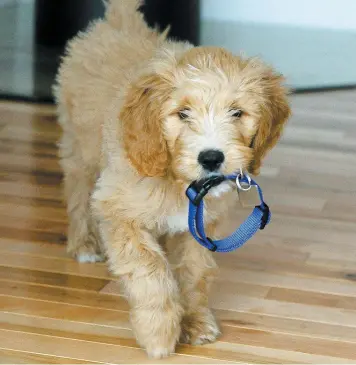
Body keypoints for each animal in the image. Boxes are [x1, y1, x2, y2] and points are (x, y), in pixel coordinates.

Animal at [54, 0, 290, 358]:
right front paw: (159, 332)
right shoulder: (118, 211)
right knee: (78, 192)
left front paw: (196, 321)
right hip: (81, 148)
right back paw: (83, 243)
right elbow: (150, 269)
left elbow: (193, 271)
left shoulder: (201, 229)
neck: (181, 184)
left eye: (237, 112)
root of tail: (121, 20)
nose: (211, 157)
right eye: (182, 113)